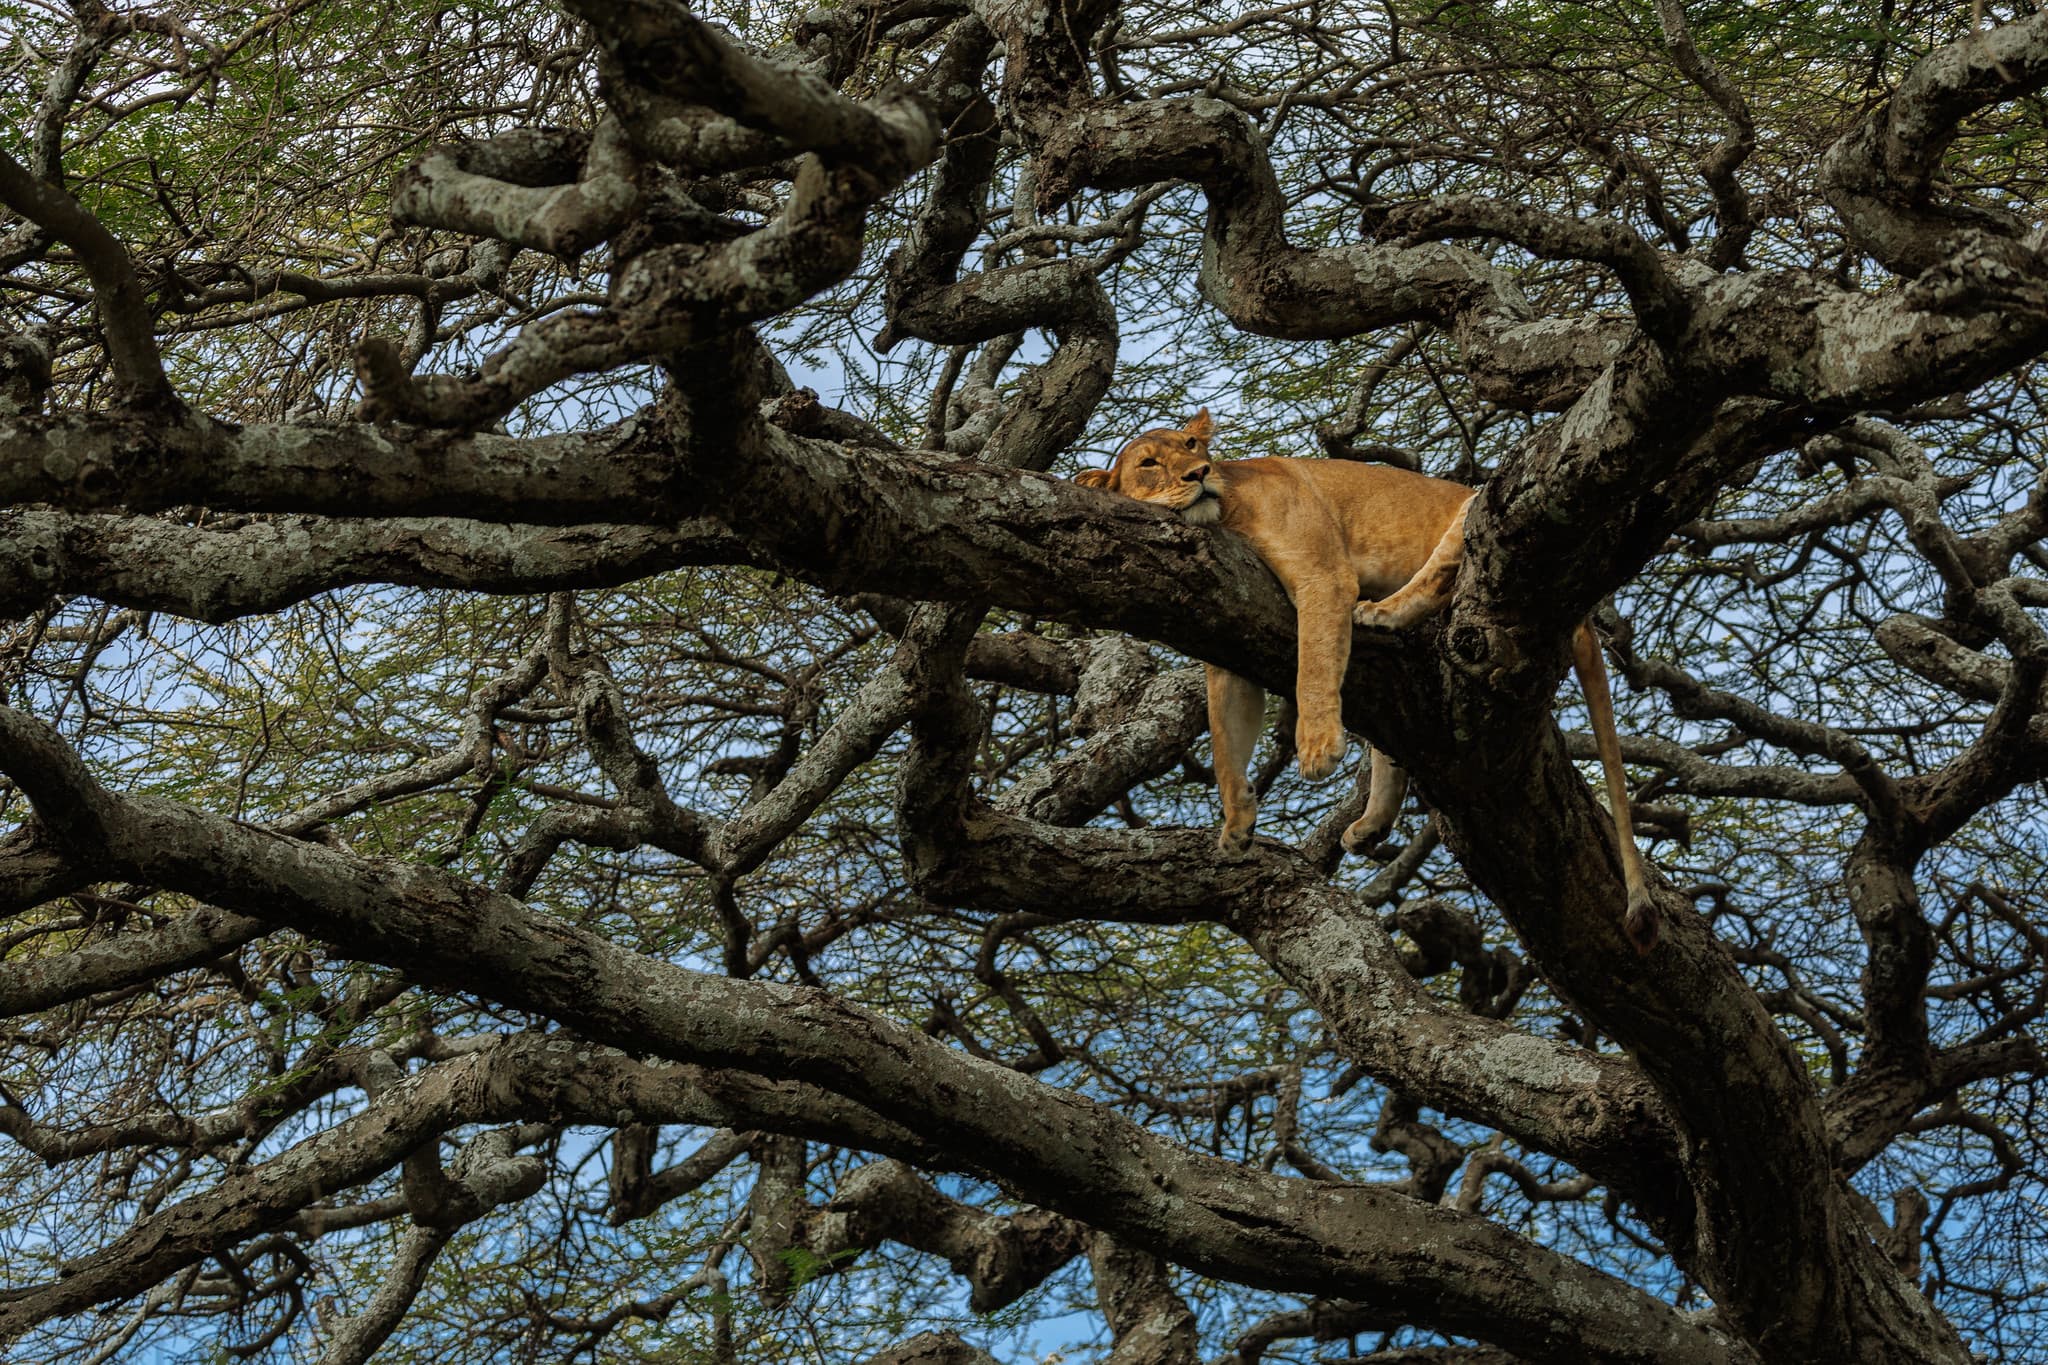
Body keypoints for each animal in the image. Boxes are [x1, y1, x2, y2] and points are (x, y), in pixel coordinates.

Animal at [1077, 408, 1658, 951]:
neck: (1227, 515)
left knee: (1442, 573)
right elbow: (1224, 742)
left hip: (1480, 504)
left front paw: (1316, 748)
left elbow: (1312, 666)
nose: (1198, 473)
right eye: (1149, 463)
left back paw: (1381, 613)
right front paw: (1236, 825)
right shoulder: (1226, 642)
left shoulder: (1323, 575)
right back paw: (1370, 824)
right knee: (1391, 744)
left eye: (1193, 445)